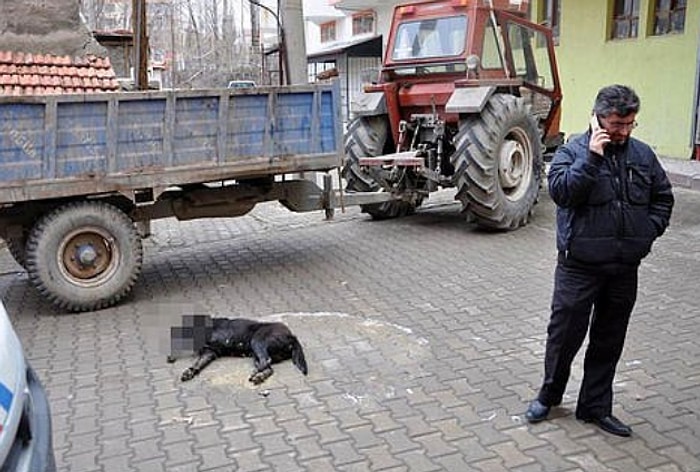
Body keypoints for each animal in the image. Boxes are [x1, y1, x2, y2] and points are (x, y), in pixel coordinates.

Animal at [168, 316, 308, 386]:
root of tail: (291, 335)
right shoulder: (210, 352)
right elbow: (198, 363)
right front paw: (190, 371)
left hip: (257, 341)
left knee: (265, 361)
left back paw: (256, 373)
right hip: (256, 354)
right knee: (268, 367)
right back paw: (259, 376)